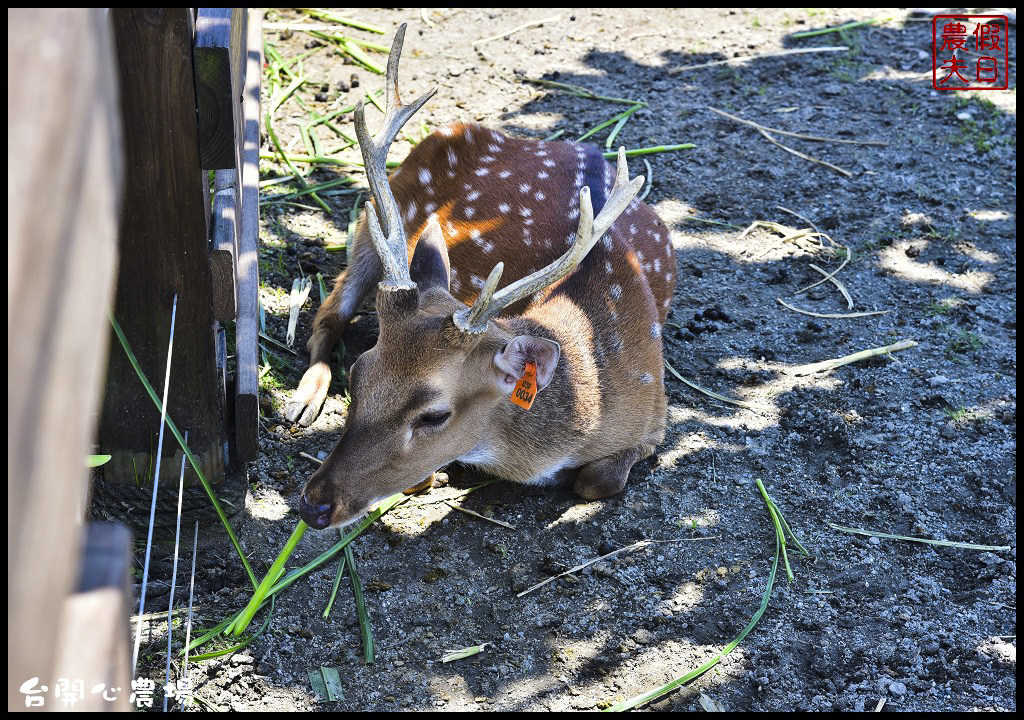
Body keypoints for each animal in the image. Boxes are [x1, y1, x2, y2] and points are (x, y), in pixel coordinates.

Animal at [288, 25, 671, 528]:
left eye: (433, 416)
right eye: (358, 376)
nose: (313, 506)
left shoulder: (656, 417)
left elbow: (597, 480)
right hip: (376, 222)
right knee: (329, 314)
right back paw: (304, 400)